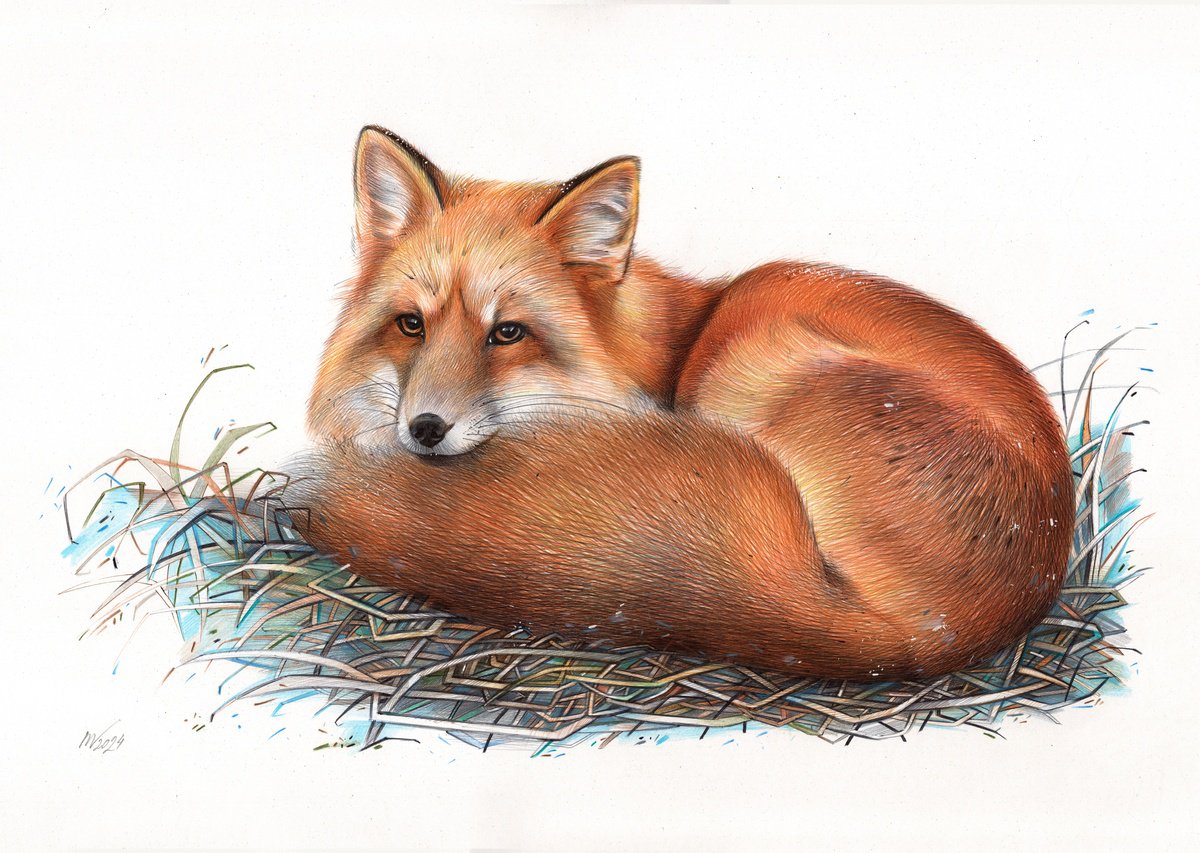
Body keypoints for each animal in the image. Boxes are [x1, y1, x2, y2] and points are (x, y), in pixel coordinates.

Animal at [293, 125, 1074, 681]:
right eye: (411, 324)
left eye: (507, 332)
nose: (425, 429)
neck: (655, 354)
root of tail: (928, 634)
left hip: (756, 356)